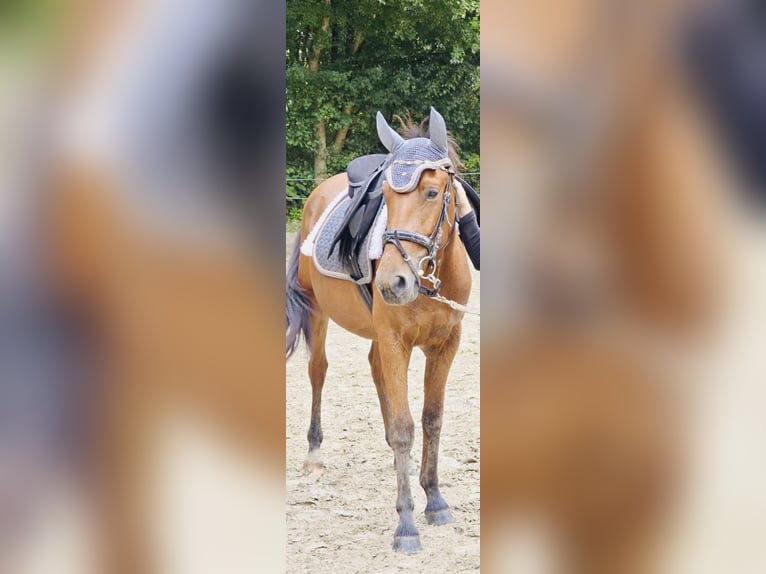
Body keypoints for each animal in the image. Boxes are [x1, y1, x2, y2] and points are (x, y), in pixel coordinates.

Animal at [286, 107, 473, 553]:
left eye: (432, 193)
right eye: (385, 196)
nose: (393, 282)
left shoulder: (446, 344)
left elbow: (431, 419)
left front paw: (435, 499)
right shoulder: (395, 341)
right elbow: (406, 428)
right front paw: (406, 523)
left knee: (375, 372)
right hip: (317, 311)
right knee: (318, 371)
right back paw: (314, 454)